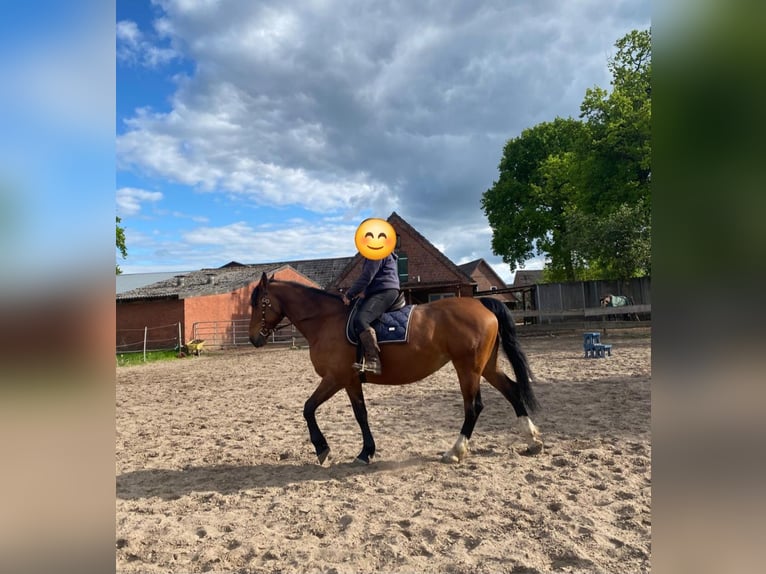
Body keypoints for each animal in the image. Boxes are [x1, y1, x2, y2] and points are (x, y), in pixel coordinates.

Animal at [249, 273, 543, 465]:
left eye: (260, 303)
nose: (253, 339)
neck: (325, 320)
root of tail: (480, 302)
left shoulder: (336, 378)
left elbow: (309, 408)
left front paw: (323, 449)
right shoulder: (351, 381)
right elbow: (361, 415)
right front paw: (366, 452)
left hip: (468, 368)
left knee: (474, 407)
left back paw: (455, 451)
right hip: (486, 366)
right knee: (513, 391)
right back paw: (532, 440)